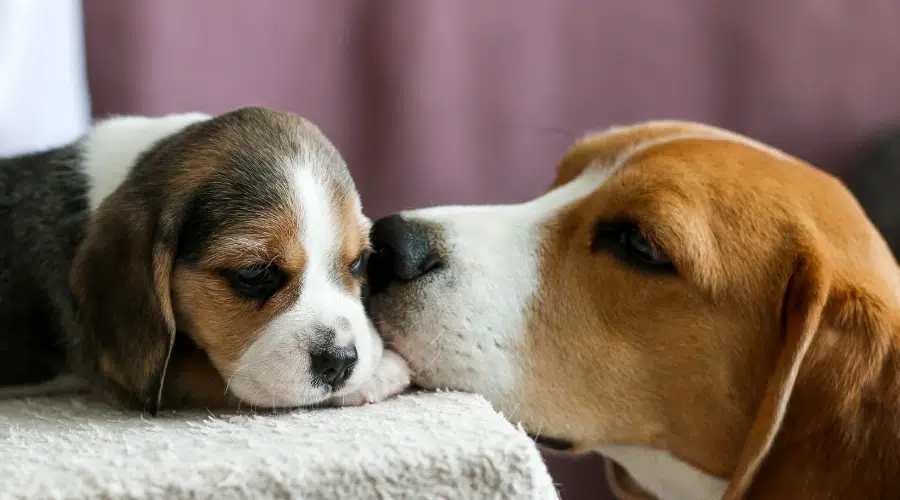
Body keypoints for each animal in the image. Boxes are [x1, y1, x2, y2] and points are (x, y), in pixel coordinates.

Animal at [0, 106, 412, 414]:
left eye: (358, 262)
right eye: (253, 274)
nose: (340, 362)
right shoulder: (128, 375)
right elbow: (212, 375)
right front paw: (384, 370)